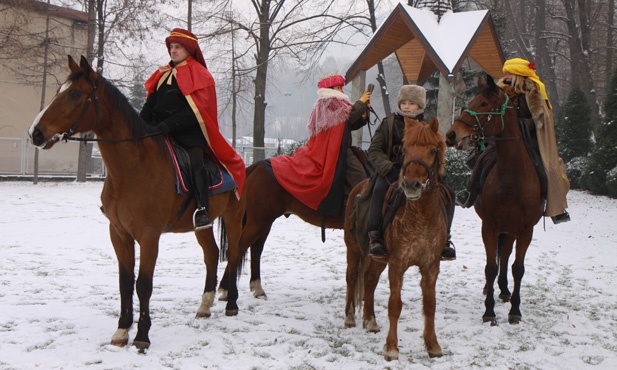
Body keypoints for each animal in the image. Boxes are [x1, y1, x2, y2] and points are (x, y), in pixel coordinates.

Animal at [28, 56, 245, 352]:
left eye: (75, 94)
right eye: (60, 90)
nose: (35, 133)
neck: (132, 169)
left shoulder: (149, 236)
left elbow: (143, 284)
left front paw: (142, 335)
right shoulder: (119, 233)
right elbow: (124, 282)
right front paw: (122, 330)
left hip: (233, 217)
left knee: (233, 254)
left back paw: (231, 303)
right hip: (203, 223)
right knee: (211, 254)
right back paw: (204, 306)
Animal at [342, 118, 448, 362]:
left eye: (432, 150)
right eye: (405, 149)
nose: (411, 185)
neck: (421, 217)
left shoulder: (431, 267)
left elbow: (430, 305)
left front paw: (433, 345)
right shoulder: (397, 264)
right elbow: (394, 305)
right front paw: (391, 348)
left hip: (379, 259)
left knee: (369, 281)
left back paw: (370, 320)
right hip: (353, 249)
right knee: (352, 278)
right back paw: (350, 317)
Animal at [442, 75, 540, 324]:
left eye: (484, 103)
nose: (452, 134)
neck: (512, 178)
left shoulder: (525, 229)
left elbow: (517, 268)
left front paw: (515, 310)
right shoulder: (489, 226)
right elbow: (490, 267)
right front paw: (489, 311)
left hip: (511, 229)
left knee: (505, 255)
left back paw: (504, 291)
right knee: (499, 258)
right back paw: (492, 289)